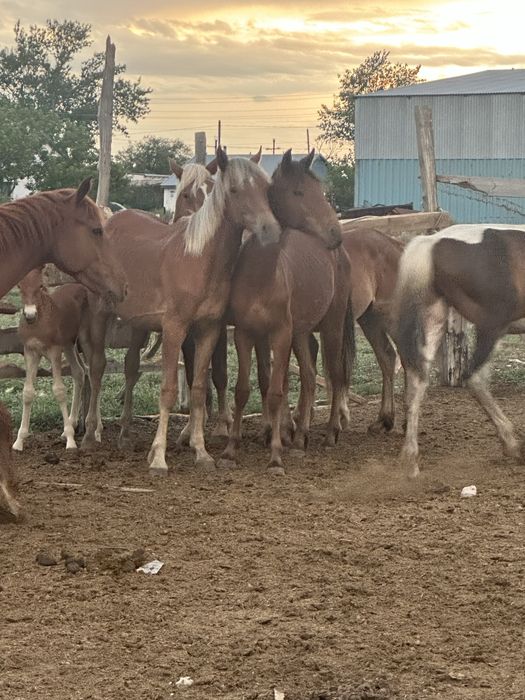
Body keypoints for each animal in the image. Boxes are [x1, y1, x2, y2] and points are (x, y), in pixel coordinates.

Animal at [12, 267, 88, 452]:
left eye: (41, 285)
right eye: (19, 286)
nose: (30, 315)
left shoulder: (54, 351)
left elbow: (59, 390)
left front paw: (70, 441)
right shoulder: (30, 351)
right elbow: (27, 392)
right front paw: (19, 440)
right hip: (69, 345)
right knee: (79, 372)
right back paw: (73, 422)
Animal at [81, 148, 281, 474]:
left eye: (266, 189)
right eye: (234, 190)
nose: (270, 229)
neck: (200, 259)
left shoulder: (209, 330)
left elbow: (199, 387)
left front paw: (201, 451)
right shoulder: (175, 329)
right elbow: (169, 390)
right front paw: (159, 457)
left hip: (138, 324)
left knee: (130, 367)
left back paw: (124, 434)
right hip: (100, 313)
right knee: (97, 368)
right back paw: (89, 434)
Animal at [221, 149, 354, 472]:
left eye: (320, 190)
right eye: (298, 191)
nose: (335, 233)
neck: (259, 275)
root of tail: (340, 255)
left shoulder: (280, 335)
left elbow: (276, 391)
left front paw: (275, 455)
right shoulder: (245, 334)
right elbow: (243, 390)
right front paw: (231, 449)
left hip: (331, 325)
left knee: (335, 374)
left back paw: (329, 433)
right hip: (302, 333)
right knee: (309, 375)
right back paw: (301, 437)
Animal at [393, 223, 525, 477]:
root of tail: (432, 242)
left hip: (434, 319)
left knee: (417, 382)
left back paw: (410, 459)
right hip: (491, 326)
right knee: (473, 378)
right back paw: (512, 444)